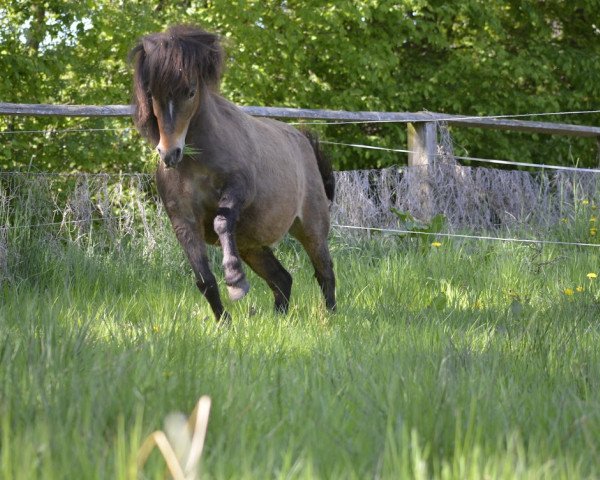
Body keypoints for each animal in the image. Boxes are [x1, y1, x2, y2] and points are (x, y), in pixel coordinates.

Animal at [131, 24, 336, 320]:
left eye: (190, 91)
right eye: (152, 93)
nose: (170, 154)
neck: (196, 161)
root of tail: (303, 140)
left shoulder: (238, 190)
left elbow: (220, 221)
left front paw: (235, 282)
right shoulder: (183, 221)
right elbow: (204, 280)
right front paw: (224, 322)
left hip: (311, 227)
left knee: (324, 271)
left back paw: (331, 315)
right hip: (252, 245)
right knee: (282, 278)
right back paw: (280, 318)